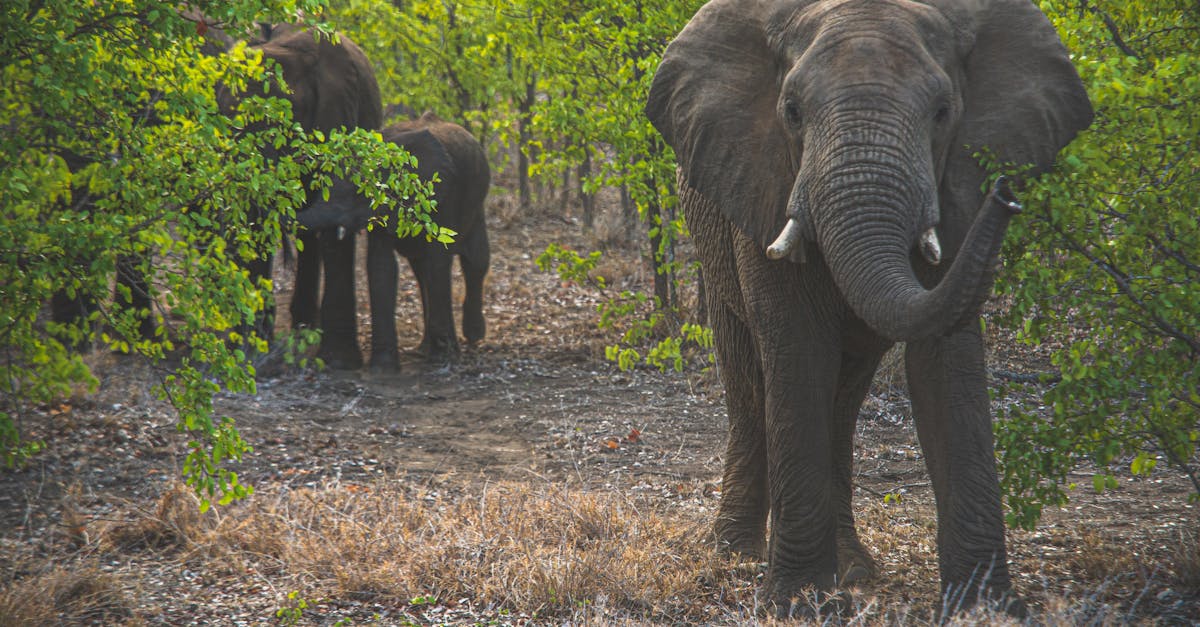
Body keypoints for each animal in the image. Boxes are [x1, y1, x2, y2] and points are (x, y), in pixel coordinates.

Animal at [296, 112, 491, 370]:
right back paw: (423, 349)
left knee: (475, 262)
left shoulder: (442, 196)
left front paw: (443, 358)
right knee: (421, 271)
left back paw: (473, 336)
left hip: (477, 201)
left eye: (356, 192)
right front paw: (383, 367)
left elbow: (438, 262)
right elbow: (381, 266)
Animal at [645, 0, 1092, 617]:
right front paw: (797, 602)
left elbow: (945, 362)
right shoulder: (763, 178)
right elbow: (797, 350)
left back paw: (853, 569)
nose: (1004, 193)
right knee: (749, 382)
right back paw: (735, 553)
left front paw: (985, 607)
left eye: (943, 113)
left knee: (844, 398)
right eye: (791, 112)